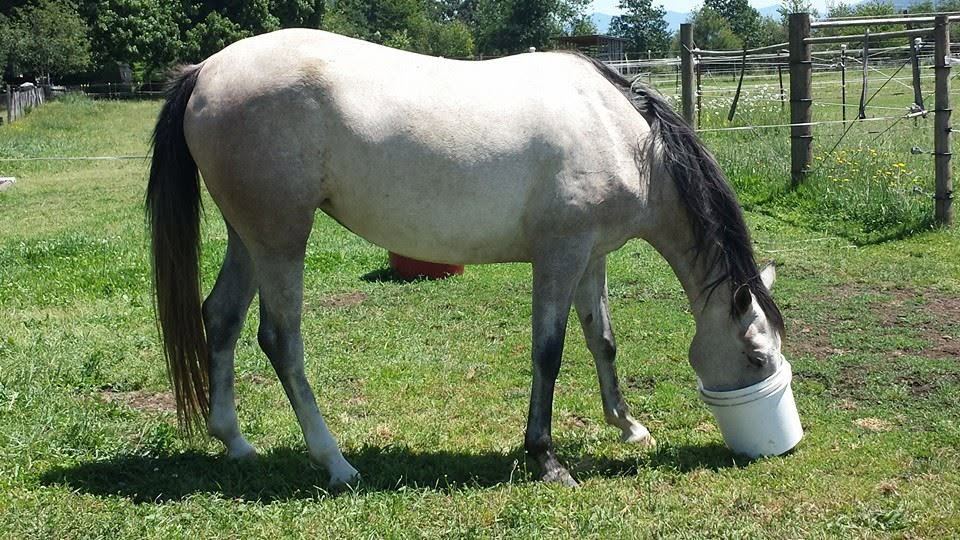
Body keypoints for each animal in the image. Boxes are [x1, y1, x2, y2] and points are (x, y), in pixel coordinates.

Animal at [146, 29, 785, 489]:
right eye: (756, 358)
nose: (776, 448)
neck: (623, 135)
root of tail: (206, 71)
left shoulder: (592, 255)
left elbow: (601, 339)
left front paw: (627, 426)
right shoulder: (559, 255)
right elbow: (549, 352)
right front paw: (546, 458)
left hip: (249, 238)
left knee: (221, 318)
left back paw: (235, 442)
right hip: (281, 239)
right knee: (280, 341)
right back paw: (336, 464)